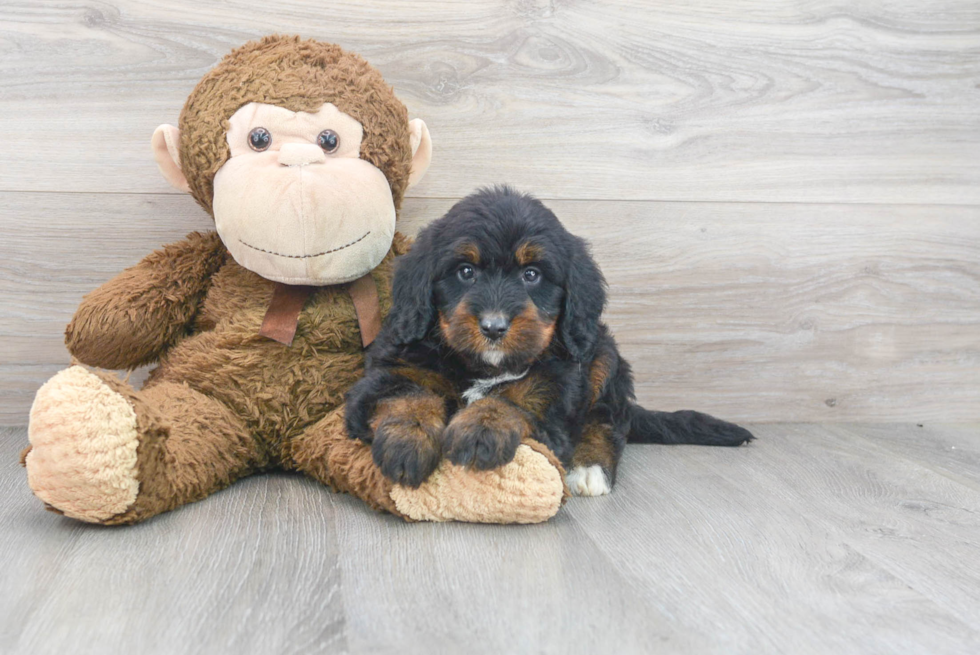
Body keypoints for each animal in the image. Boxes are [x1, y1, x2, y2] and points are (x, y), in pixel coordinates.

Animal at [344, 187, 752, 494]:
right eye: (465, 271)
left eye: (531, 274)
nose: (494, 327)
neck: (481, 367)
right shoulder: (393, 365)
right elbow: (409, 392)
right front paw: (407, 442)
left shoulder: (560, 383)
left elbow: (516, 398)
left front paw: (482, 428)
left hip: (601, 353)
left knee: (606, 419)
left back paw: (590, 469)